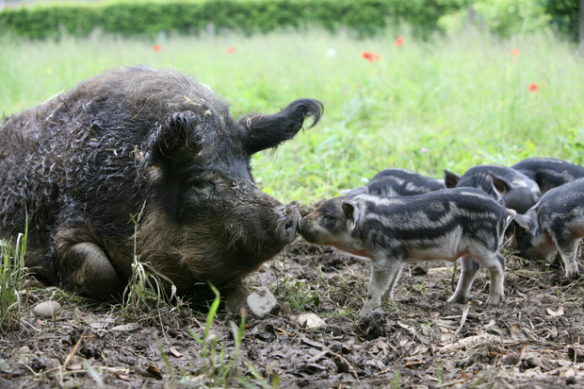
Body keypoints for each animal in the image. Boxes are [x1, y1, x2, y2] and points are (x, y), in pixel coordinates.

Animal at [298, 188, 512, 316]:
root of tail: (503, 211)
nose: (300, 221)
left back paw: (492, 303)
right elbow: (390, 284)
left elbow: (374, 288)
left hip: (483, 244)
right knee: (471, 268)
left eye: (328, 216)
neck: (366, 223)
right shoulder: (397, 259)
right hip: (468, 249)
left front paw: (363, 315)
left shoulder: (385, 256)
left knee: (499, 263)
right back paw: (452, 300)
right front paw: (388, 303)